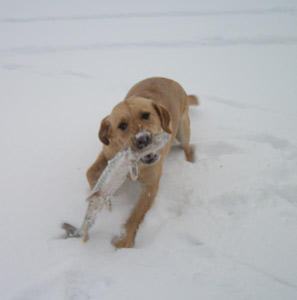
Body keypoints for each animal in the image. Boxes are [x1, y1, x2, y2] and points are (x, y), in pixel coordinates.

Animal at [85, 77, 198, 248]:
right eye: (122, 125)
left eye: (146, 115)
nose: (142, 139)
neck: (135, 162)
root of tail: (169, 79)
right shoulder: (107, 153)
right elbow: (91, 172)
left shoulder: (151, 186)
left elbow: (137, 213)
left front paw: (125, 239)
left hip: (183, 130)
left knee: (187, 147)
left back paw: (190, 162)